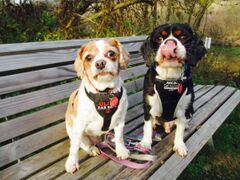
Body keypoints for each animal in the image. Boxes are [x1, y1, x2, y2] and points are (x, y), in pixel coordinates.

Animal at [64, 38, 130, 174]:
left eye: (111, 53)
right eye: (88, 57)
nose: (100, 63)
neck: (104, 92)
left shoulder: (119, 121)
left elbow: (119, 138)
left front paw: (121, 150)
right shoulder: (79, 126)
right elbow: (74, 148)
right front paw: (72, 163)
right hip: (76, 133)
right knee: (84, 144)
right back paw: (92, 149)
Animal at [140, 23, 207, 156]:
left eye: (182, 37)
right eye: (160, 38)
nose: (170, 43)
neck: (170, 80)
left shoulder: (184, 109)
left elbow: (179, 131)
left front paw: (179, 145)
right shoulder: (148, 107)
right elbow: (147, 127)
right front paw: (145, 143)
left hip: (191, 109)